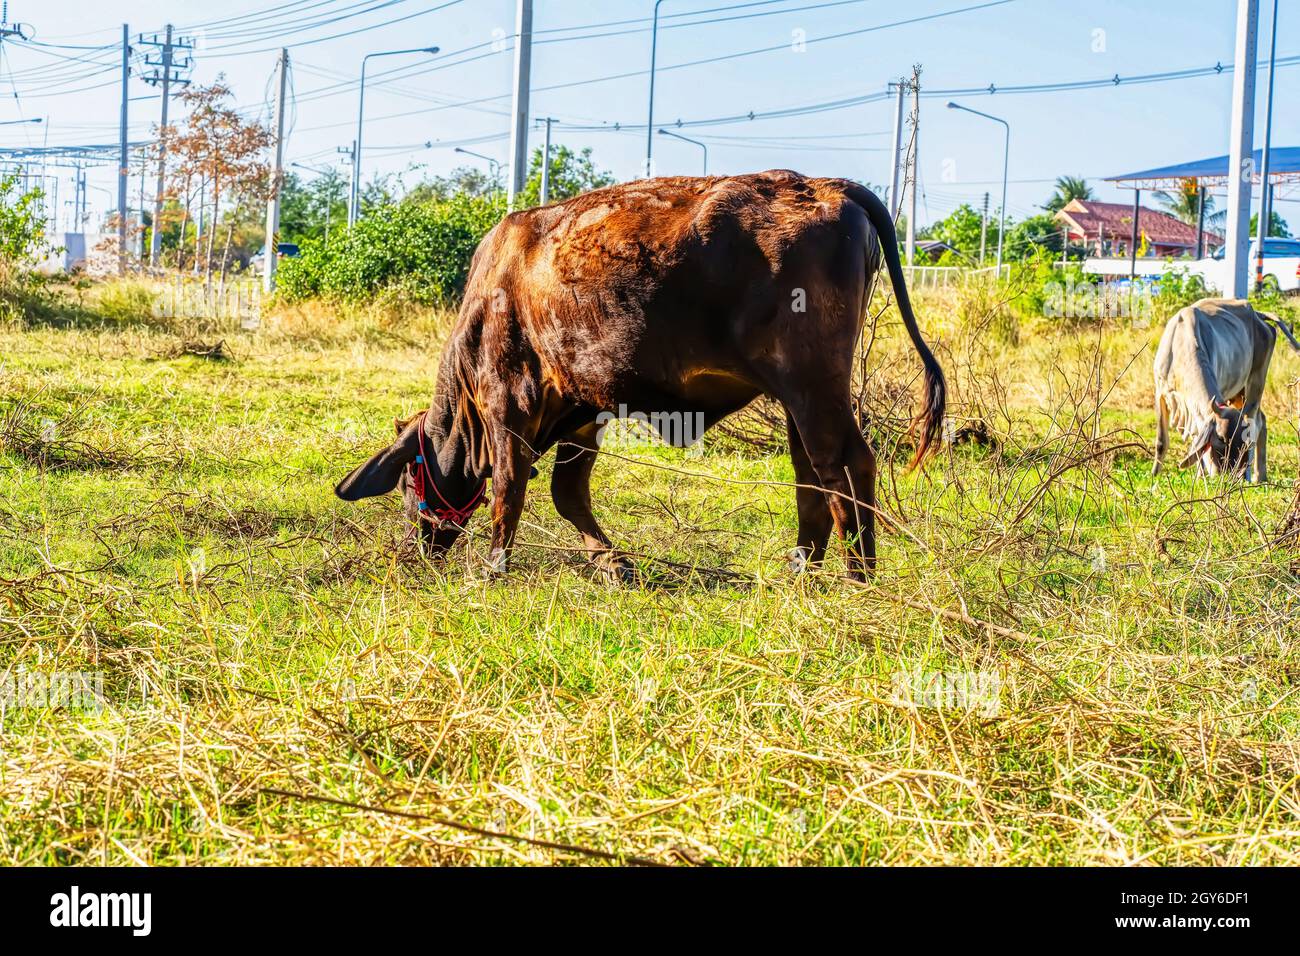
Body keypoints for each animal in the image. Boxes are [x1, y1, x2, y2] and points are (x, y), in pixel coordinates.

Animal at [334, 170, 945, 581]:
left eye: (409, 477)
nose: (420, 544)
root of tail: (825, 184)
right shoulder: (581, 409)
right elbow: (567, 494)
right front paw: (611, 561)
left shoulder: (510, 403)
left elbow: (510, 490)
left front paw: (491, 568)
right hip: (798, 394)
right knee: (812, 474)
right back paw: (804, 567)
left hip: (813, 386)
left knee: (845, 464)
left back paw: (857, 574)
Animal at [1152, 297, 1300, 482]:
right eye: (1221, 438)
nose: (1230, 476)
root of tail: (1258, 315)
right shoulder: (1161, 393)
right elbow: (1162, 441)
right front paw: (1155, 475)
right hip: (1239, 393)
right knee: (1263, 418)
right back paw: (1261, 476)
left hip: (1256, 380)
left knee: (1257, 420)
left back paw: (1256, 475)